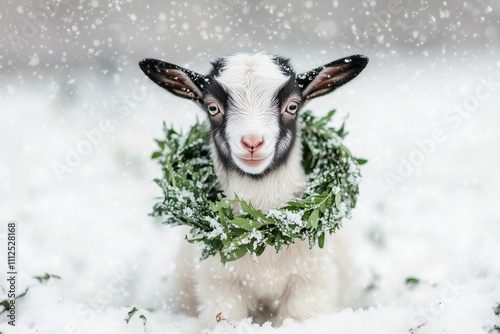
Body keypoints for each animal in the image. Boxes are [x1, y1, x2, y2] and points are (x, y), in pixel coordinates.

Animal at [139, 52, 370, 328]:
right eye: (212, 108)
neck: (262, 231)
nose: (252, 142)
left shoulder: (311, 285)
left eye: (292, 106)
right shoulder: (220, 286)